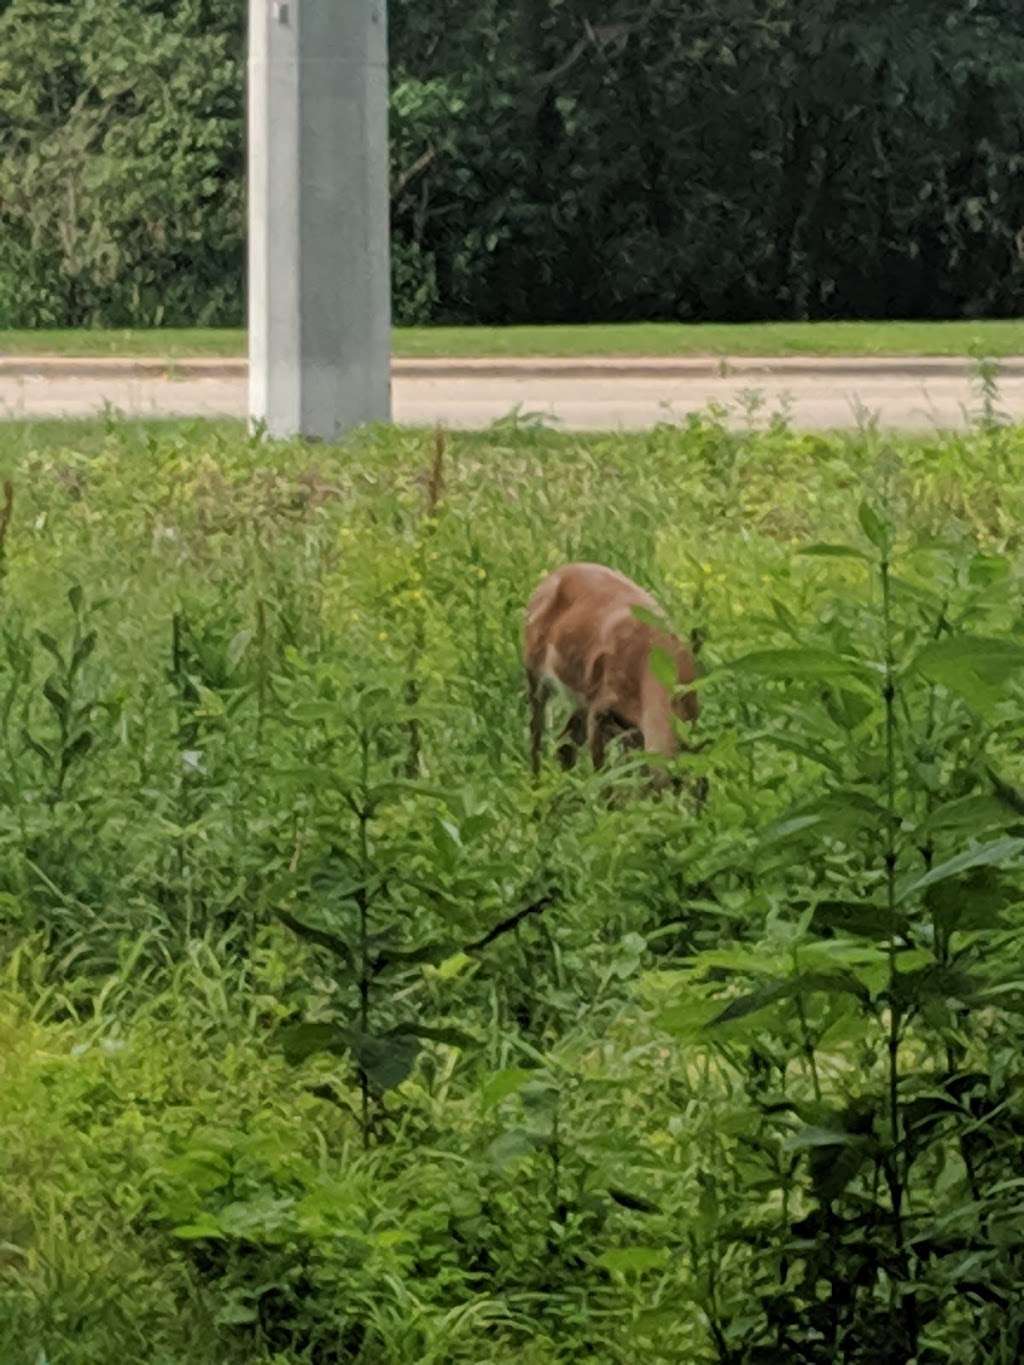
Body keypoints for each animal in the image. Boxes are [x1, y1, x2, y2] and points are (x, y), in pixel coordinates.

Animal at [524, 556, 704, 791]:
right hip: (534, 671)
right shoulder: (600, 708)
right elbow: (603, 778)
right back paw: (535, 787)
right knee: (536, 733)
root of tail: (554, 574)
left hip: (583, 698)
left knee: (565, 741)